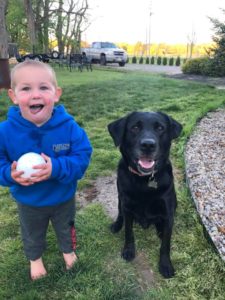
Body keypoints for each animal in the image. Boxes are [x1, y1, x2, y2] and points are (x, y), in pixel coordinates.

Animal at [107, 111, 183, 278]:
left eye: (160, 128)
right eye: (135, 128)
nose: (148, 145)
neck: (144, 180)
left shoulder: (168, 211)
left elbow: (165, 243)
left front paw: (165, 264)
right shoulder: (127, 207)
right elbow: (128, 232)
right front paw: (128, 250)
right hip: (119, 198)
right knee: (120, 214)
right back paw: (117, 224)